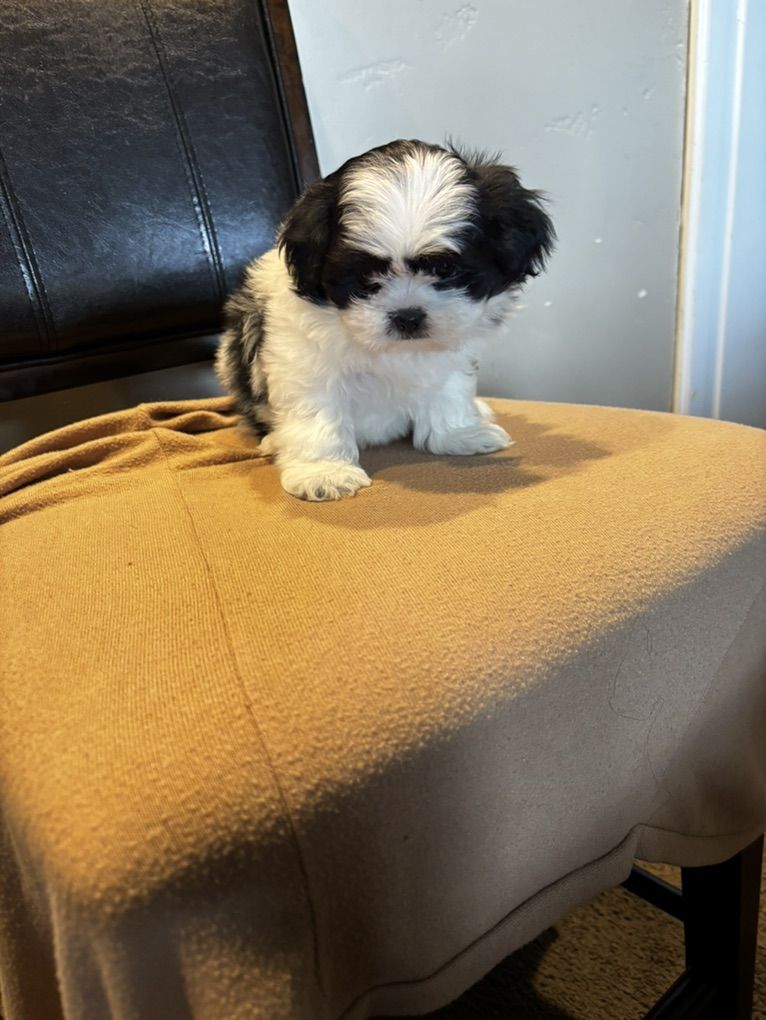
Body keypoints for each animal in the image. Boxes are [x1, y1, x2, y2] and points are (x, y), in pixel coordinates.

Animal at [215, 139, 554, 501]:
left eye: (445, 269)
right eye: (365, 275)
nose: (408, 316)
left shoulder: (453, 352)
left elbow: (448, 388)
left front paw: (458, 434)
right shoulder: (303, 360)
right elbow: (317, 411)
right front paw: (323, 471)